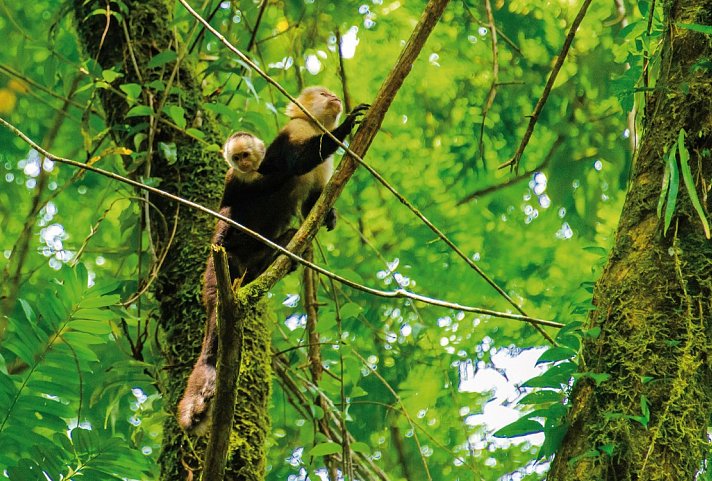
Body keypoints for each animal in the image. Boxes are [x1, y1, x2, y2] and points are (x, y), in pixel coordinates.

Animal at [178, 87, 370, 436]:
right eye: (323, 93)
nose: (335, 97)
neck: (314, 126)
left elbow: (313, 203)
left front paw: (329, 215)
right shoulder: (292, 134)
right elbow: (294, 163)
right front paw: (347, 126)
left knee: (286, 237)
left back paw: (283, 256)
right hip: (225, 249)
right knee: (231, 210)